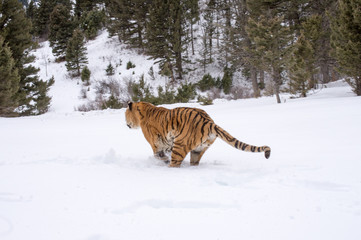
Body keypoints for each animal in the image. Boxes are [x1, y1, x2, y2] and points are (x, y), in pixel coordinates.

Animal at [125, 101, 268, 167]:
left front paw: (164, 159)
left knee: (175, 163)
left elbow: (158, 155)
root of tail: (208, 121)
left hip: (180, 146)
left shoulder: (156, 144)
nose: (125, 123)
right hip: (198, 149)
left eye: (125, 114)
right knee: (194, 161)